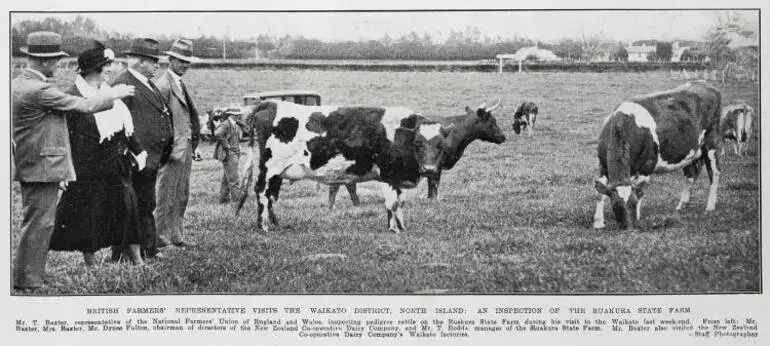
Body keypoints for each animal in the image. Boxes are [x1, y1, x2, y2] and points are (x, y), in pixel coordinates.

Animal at [237, 101, 448, 234]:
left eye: (440, 145)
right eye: (418, 144)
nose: (429, 169)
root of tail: (271, 104)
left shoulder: (399, 178)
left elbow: (401, 202)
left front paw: (402, 227)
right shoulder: (388, 175)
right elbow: (392, 203)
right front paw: (393, 229)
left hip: (279, 172)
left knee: (271, 195)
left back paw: (275, 224)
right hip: (270, 167)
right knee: (262, 192)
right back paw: (263, 227)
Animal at [592, 81, 724, 231]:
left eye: (633, 203)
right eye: (616, 206)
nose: (629, 229)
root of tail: (705, 84)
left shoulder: (646, 166)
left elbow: (640, 190)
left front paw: (637, 217)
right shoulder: (603, 164)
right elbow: (599, 194)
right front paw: (598, 222)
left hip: (712, 142)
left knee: (714, 172)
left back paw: (710, 206)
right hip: (691, 150)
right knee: (690, 174)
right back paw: (681, 206)